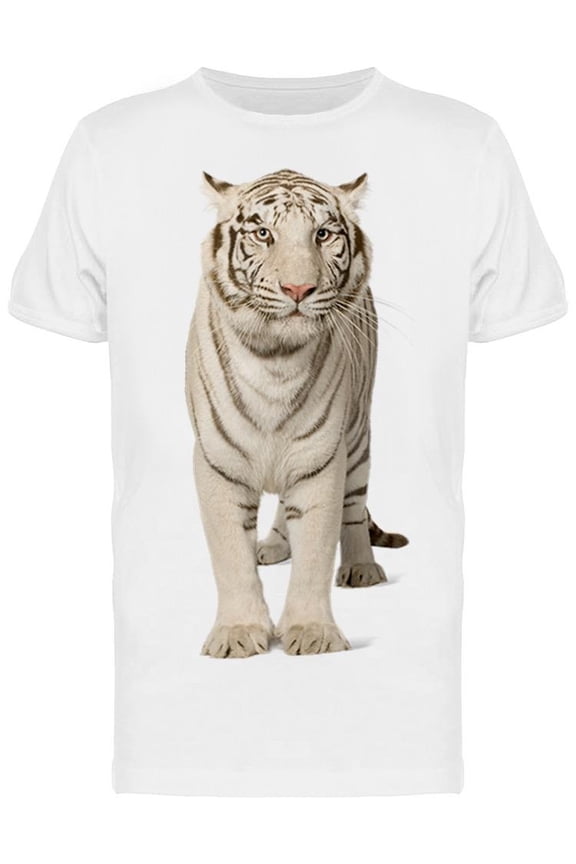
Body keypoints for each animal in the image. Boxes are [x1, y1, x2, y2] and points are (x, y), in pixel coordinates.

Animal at [184, 168, 408, 659]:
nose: (298, 290)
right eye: (263, 234)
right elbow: (230, 555)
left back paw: (362, 568)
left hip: (357, 437)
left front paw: (312, 632)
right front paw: (237, 633)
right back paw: (270, 546)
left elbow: (316, 552)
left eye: (322, 234)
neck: (274, 356)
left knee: (353, 508)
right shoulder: (218, 464)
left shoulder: (321, 459)